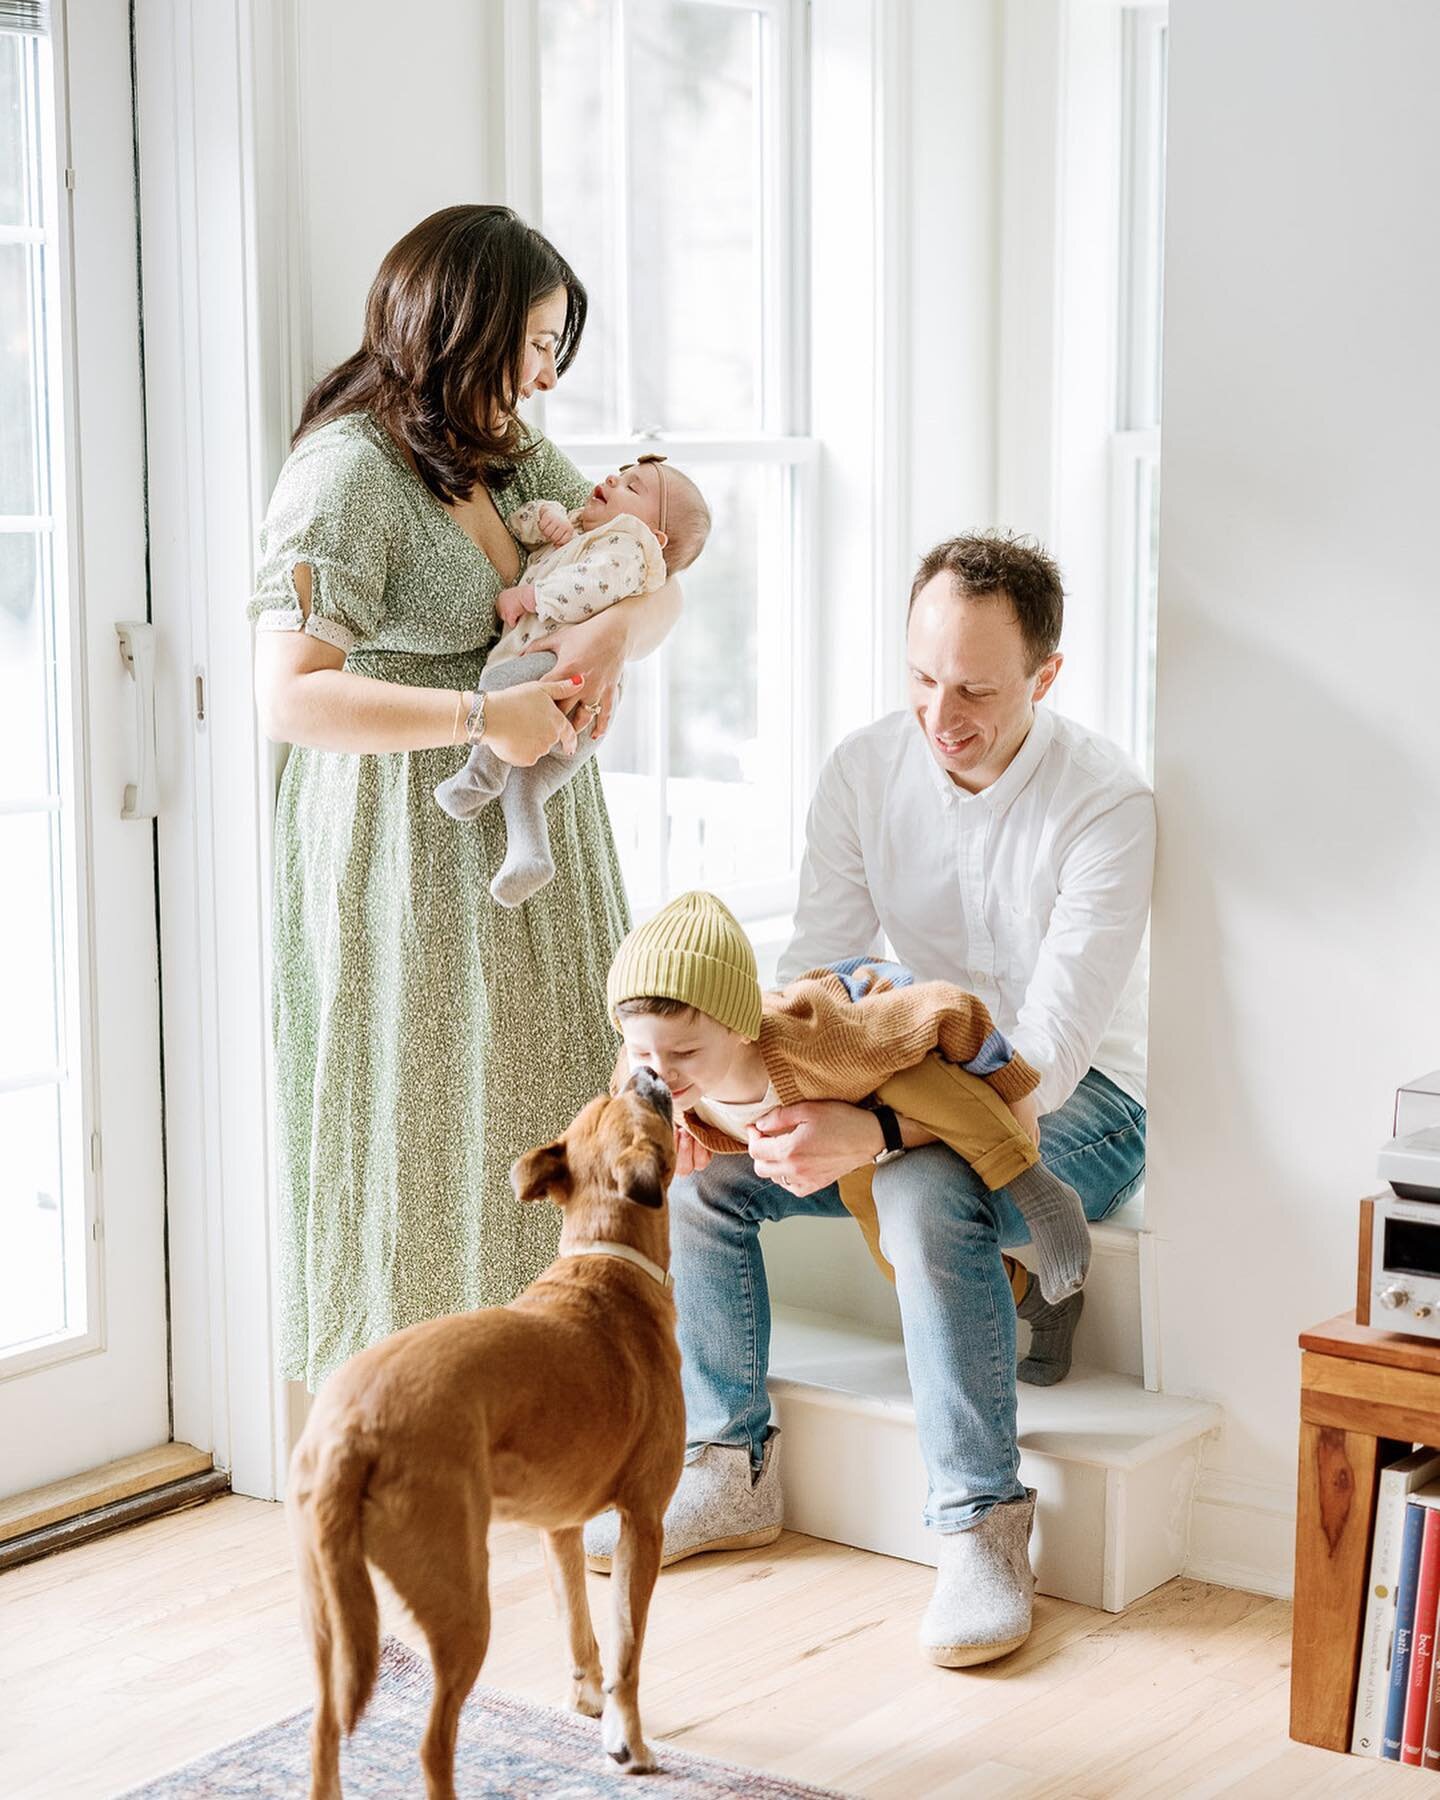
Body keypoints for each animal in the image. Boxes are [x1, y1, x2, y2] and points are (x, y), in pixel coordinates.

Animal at [288, 1065, 687, 1800]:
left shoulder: (560, 1529)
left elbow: (579, 1626)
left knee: (324, 1732)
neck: (607, 1258)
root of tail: (351, 1431)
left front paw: (586, 1701)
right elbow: (627, 1648)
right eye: (636, 1099)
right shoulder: (643, 1524)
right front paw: (627, 1742)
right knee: (432, 1745)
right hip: (461, 1605)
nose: (646, 1069)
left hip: (329, 1614)